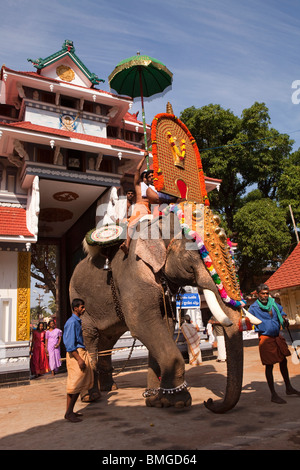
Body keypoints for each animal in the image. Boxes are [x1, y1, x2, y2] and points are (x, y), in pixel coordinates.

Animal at [68, 200, 253, 414]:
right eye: (198, 254)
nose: (210, 402)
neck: (159, 224)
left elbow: (165, 325)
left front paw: (156, 399)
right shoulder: (132, 273)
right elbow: (142, 323)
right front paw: (179, 401)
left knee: (107, 339)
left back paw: (110, 388)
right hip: (79, 301)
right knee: (90, 336)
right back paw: (91, 396)